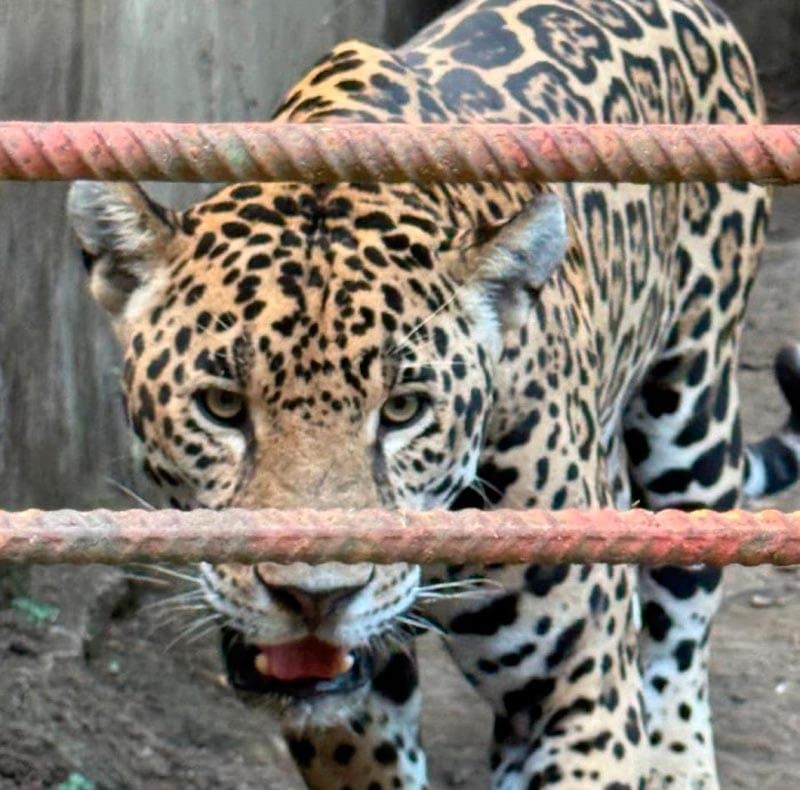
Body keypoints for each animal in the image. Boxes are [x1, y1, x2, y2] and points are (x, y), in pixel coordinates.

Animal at [66, 0, 800, 787]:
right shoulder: (356, 713)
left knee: (681, 628)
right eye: (222, 406)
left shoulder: (580, 685)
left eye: (404, 410)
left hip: (691, 416)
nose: (315, 599)